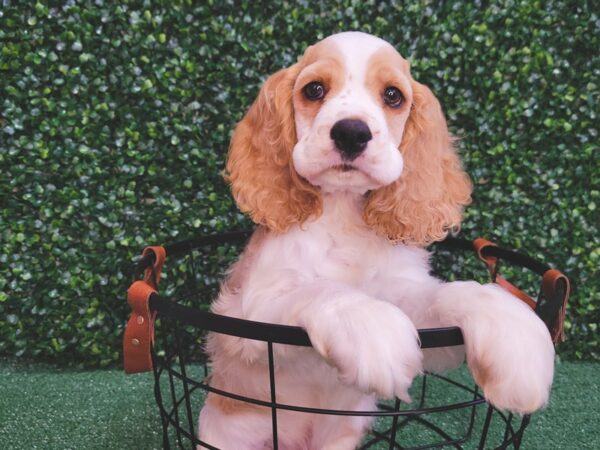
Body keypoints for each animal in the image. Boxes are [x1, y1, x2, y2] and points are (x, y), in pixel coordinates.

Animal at [199, 32, 556, 450]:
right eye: (314, 89)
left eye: (393, 96)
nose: (351, 132)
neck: (344, 214)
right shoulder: (248, 315)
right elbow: (321, 289)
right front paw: (373, 330)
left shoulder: (415, 309)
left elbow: (450, 293)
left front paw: (516, 337)